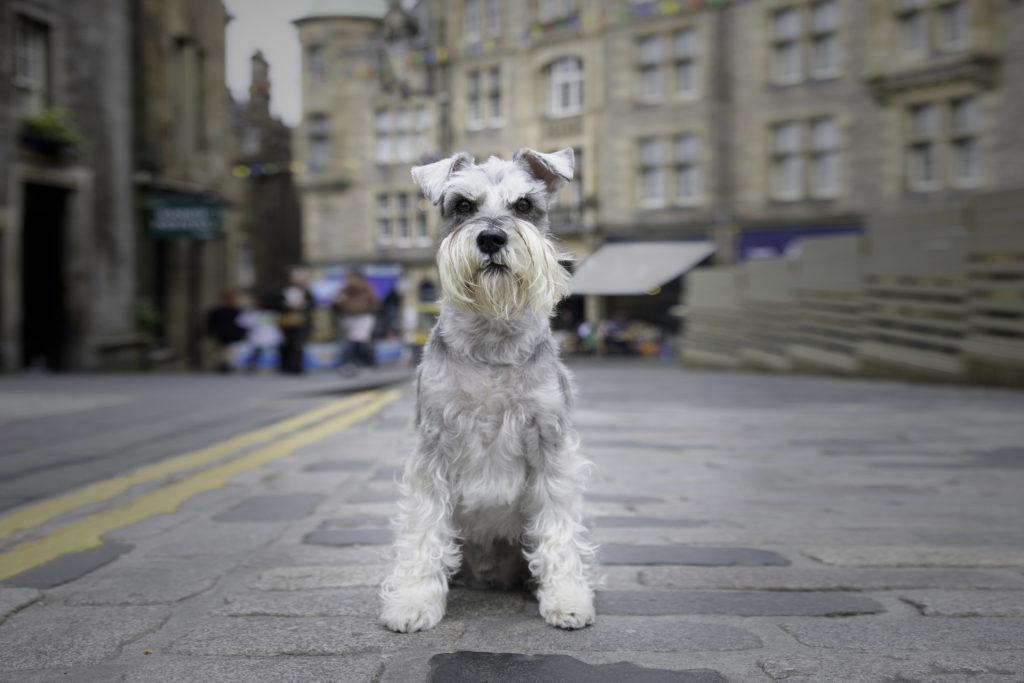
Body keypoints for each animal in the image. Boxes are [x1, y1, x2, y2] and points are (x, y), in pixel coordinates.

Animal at [380, 147, 598, 634]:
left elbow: (558, 527)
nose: (492, 238)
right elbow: (424, 530)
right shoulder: (434, 447)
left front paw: (567, 598)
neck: (492, 339)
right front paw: (413, 602)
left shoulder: (550, 444)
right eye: (462, 205)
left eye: (524, 204)